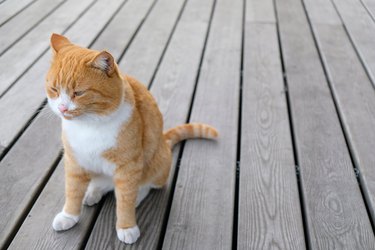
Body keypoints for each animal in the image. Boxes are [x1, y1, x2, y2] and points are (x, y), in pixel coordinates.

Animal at [46, 33, 220, 244]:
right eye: (54, 89)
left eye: (78, 93)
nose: (62, 108)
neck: (89, 125)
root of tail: (164, 141)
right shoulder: (74, 162)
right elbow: (72, 192)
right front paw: (69, 216)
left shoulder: (128, 168)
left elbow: (125, 200)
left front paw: (127, 226)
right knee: (100, 184)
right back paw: (92, 192)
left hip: (157, 164)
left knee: (147, 185)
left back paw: (135, 195)